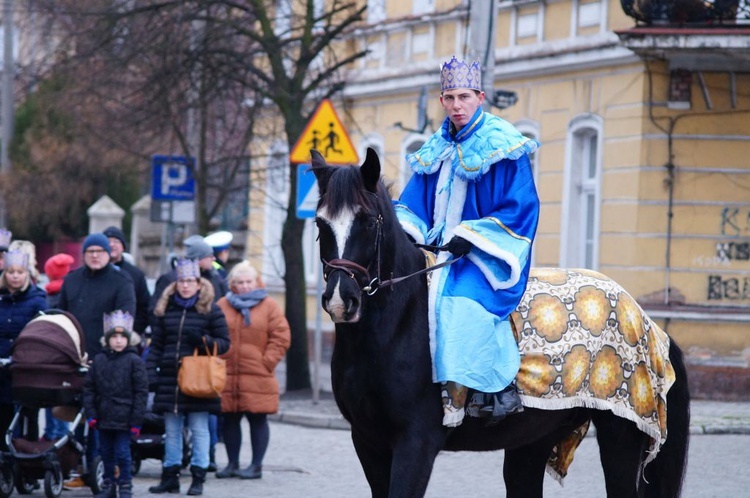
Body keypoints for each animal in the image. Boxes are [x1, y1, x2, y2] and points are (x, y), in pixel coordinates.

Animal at [312, 148, 692, 498]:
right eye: (320, 223)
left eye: (366, 220)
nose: (340, 300)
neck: (395, 328)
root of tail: (647, 321)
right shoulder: (367, 441)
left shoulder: (415, 443)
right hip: (533, 441)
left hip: (620, 437)